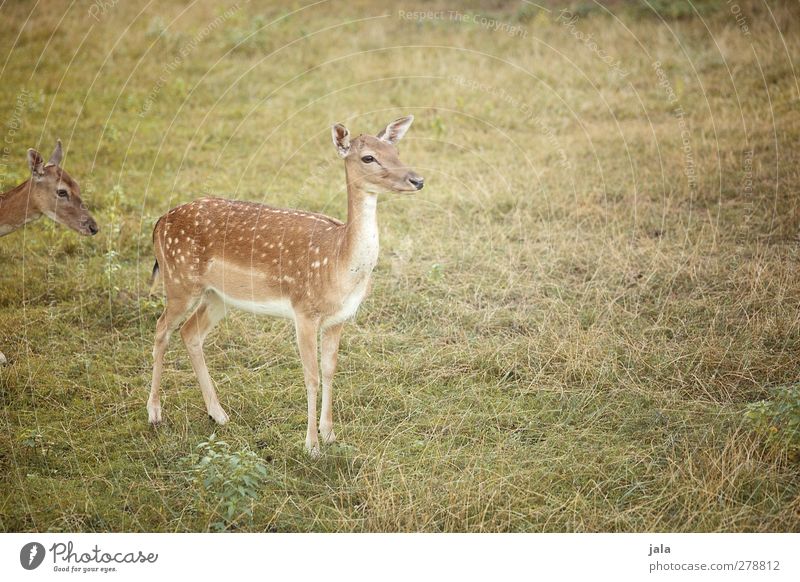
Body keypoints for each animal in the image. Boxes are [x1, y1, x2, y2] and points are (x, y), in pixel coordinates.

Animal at [147, 116, 422, 456]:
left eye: (395, 150)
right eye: (368, 157)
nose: (417, 180)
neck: (338, 263)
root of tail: (159, 222)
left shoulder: (339, 319)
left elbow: (330, 370)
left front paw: (330, 434)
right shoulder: (304, 311)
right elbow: (311, 376)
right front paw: (312, 445)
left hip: (216, 296)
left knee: (190, 332)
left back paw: (218, 414)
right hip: (179, 281)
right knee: (162, 328)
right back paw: (155, 413)